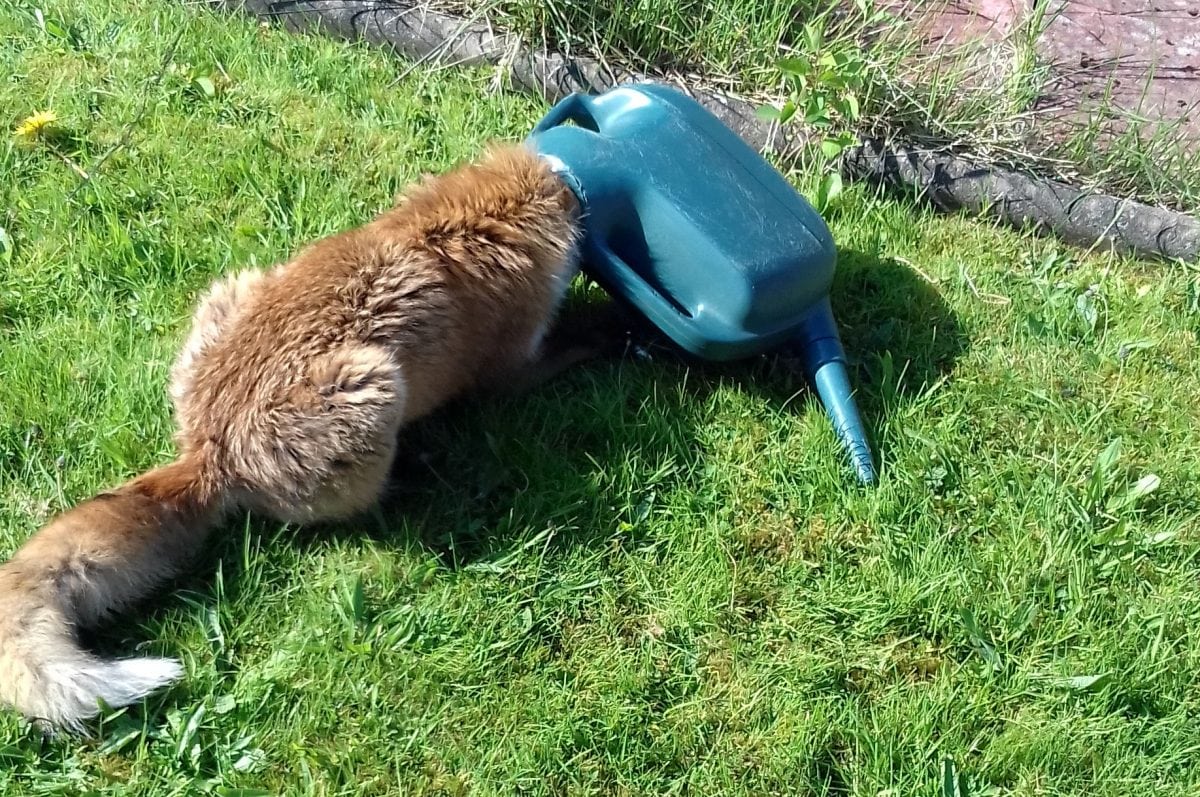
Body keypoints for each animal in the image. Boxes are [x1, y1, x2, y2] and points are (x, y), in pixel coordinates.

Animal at [0, 144, 600, 734]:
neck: (460, 223)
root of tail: (207, 450)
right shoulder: (510, 367)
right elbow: (545, 361)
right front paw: (605, 334)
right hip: (374, 386)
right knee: (351, 511)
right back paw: (414, 477)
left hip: (234, 287)